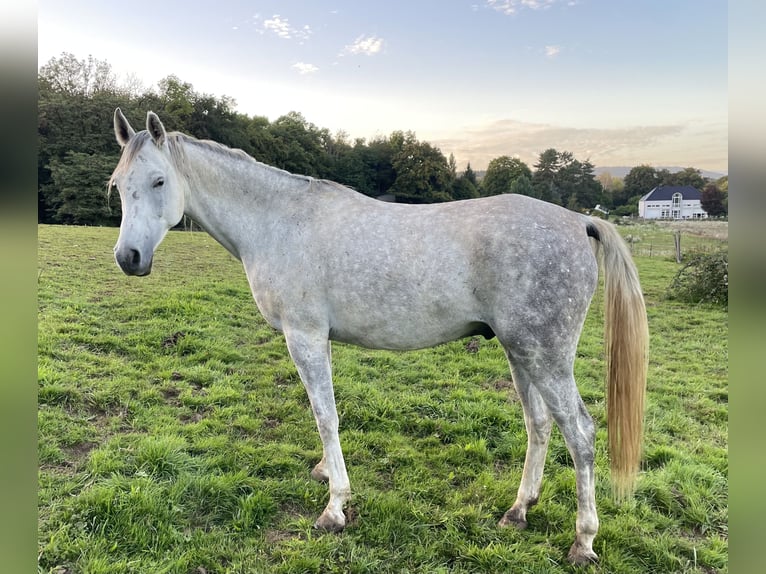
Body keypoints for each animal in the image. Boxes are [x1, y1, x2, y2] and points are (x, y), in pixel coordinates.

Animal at [109, 108, 648, 564]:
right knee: (539, 425)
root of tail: (579, 221)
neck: (279, 222)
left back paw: (583, 541)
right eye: (118, 185)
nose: (128, 258)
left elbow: (325, 417)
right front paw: (326, 473)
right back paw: (518, 511)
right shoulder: (317, 339)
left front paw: (334, 508)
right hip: (520, 353)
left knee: (580, 434)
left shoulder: (305, 337)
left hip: (546, 356)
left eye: (159, 180)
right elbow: (324, 415)